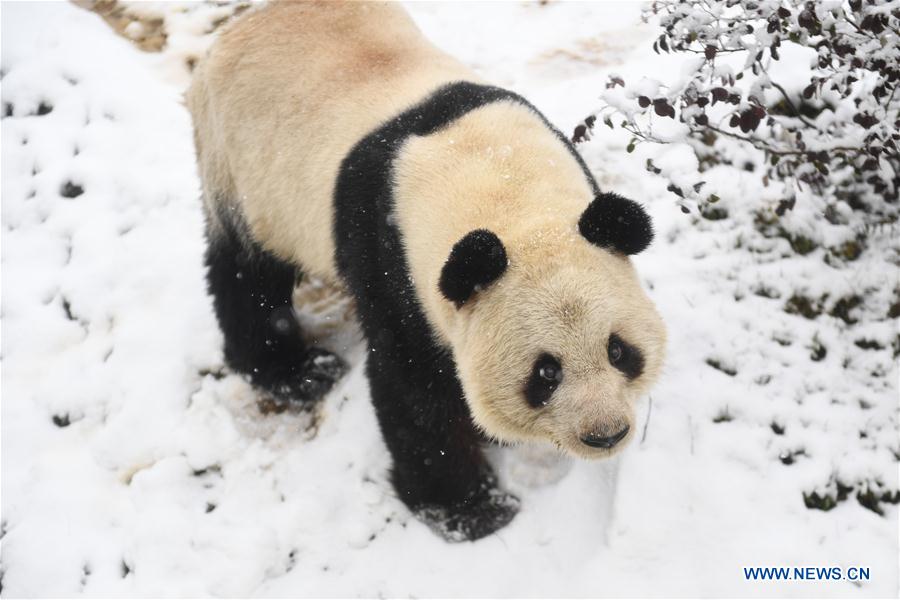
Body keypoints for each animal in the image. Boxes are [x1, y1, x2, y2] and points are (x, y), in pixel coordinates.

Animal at [187, 1, 666, 542]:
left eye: (618, 350)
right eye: (545, 372)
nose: (605, 434)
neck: (502, 185)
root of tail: (242, 25)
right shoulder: (392, 258)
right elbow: (412, 391)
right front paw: (470, 512)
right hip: (241, 168)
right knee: (247, 277)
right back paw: (297, 371)